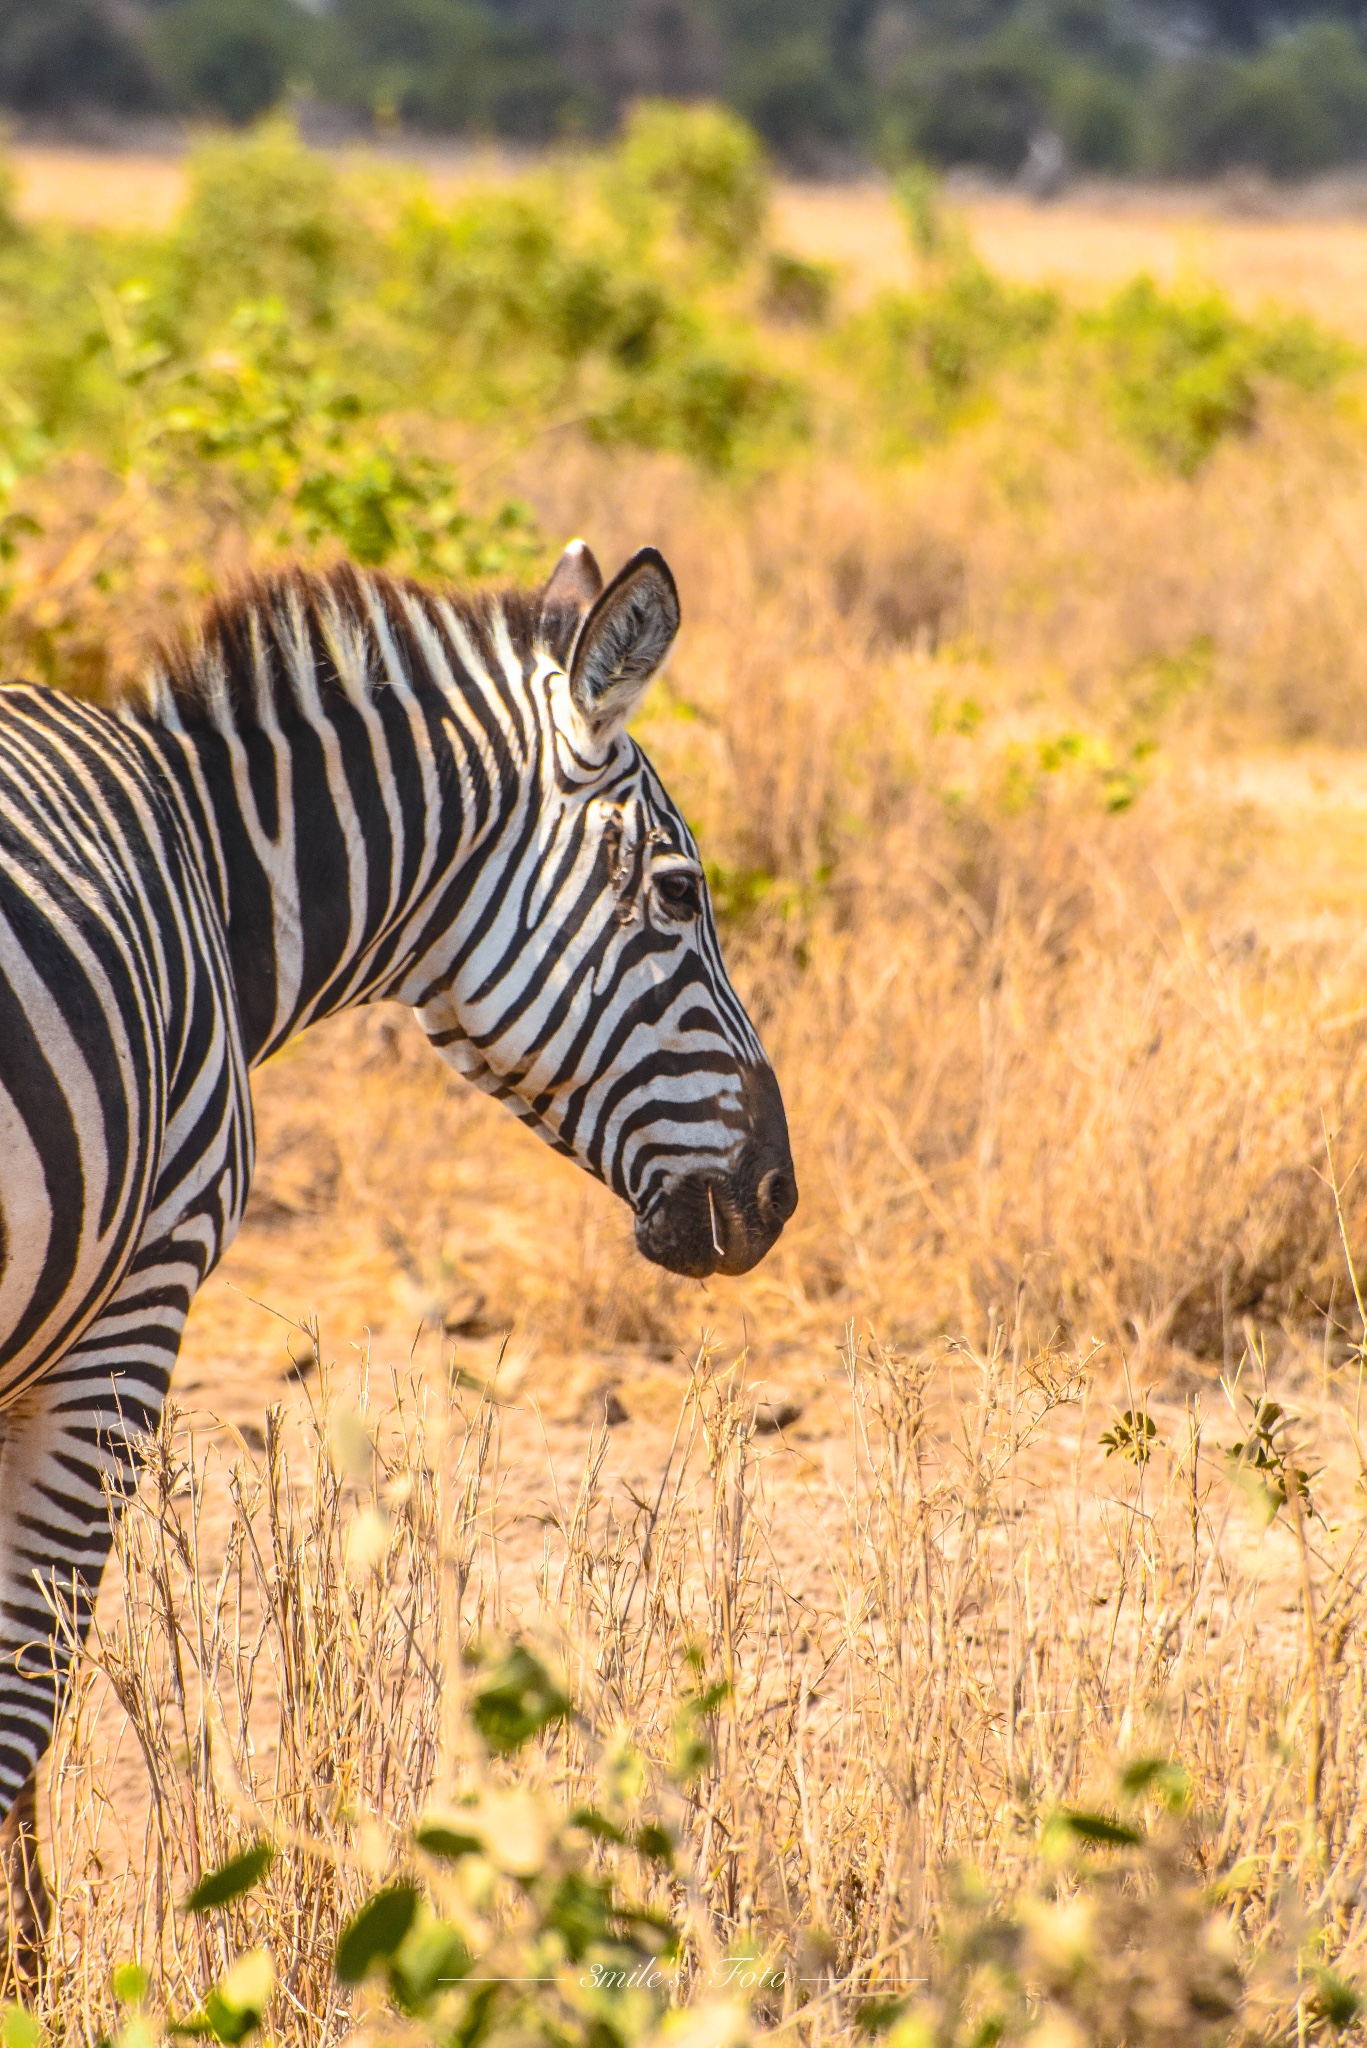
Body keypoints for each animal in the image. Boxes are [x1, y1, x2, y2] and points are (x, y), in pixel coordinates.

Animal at [0, 540, 795, 1966]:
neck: (212, 876)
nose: (778, 1193)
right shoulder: (131, 1303)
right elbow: (29, 1688)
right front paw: (30, 1975)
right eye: (678, 892)